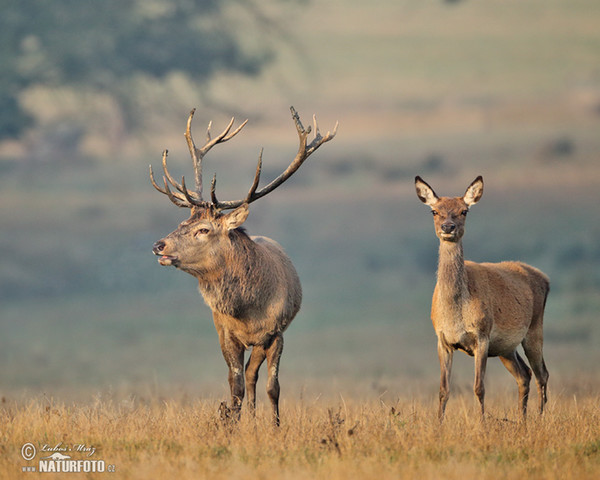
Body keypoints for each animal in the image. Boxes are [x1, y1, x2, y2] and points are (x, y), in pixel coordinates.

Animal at [150, 108, 338, 424]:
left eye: (203, 230)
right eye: (182, 222)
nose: (158, 245)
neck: (247, 310)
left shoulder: (276, 333)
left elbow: (272, 386)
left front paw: (274, 426)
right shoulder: (226, 332)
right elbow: (234, 383)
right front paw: (233, 424)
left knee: (254, 374)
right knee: (240, 376)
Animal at [414, 176, 552, 420]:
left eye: (464, 211)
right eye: (434, 211)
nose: (447, 227)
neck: (455, 313)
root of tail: (546, 280)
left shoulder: (482, 335)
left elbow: (479, 387)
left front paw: (482, 422)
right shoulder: (442, 340)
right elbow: (443, 389)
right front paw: (439, 423)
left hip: (534, 330)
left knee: (542, 373)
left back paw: (539, 417)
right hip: (506, 348)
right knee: (524, 374)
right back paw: (522, 419)